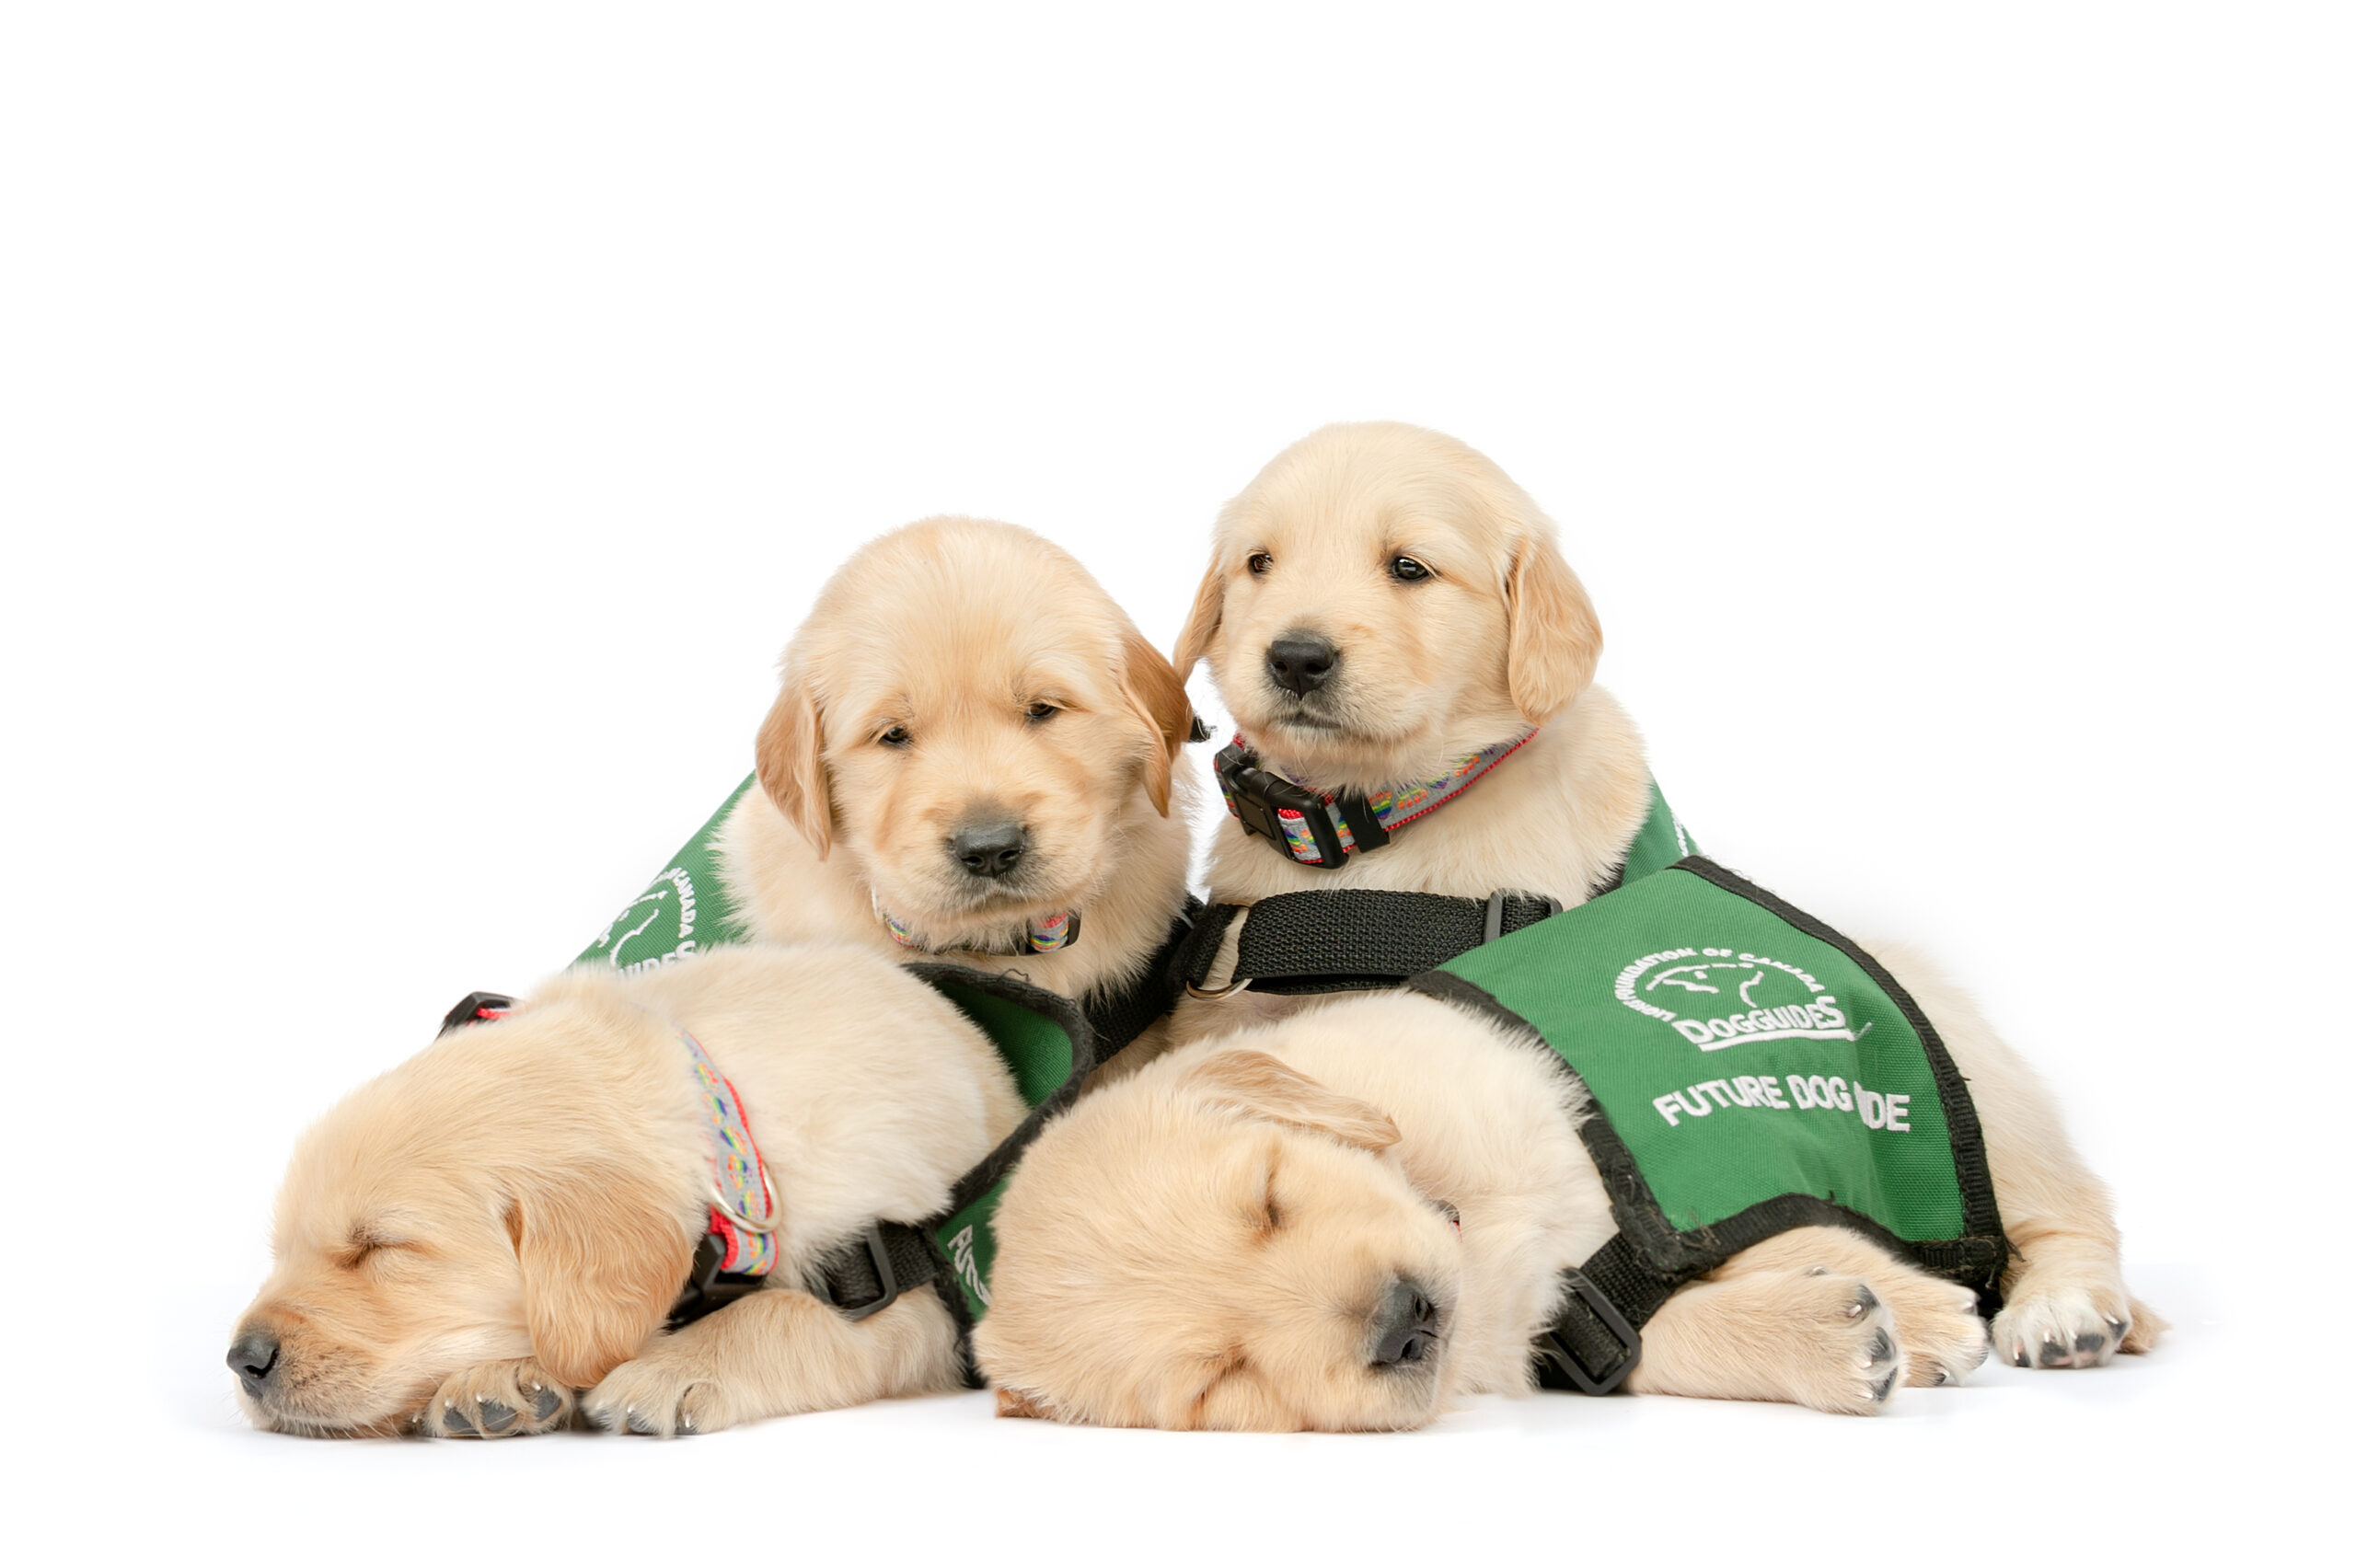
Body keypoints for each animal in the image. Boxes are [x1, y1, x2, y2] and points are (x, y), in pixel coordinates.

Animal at [222, 932, 1022, 1431]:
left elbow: (784, 1312)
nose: (243, 1361)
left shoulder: (915, 1300)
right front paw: (499, 1378)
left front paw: (670, 1368)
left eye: (381, 1248)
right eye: (280, 1251)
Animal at [970, 421, 2157, 1422]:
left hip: (1986, 1097)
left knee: (2066, 1208)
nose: (1295, 655)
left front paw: (1910, 1311)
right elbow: (1640, 1327)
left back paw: (2070, 1311)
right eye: (1256, 565)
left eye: (1409, 568)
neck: (1386, 837)